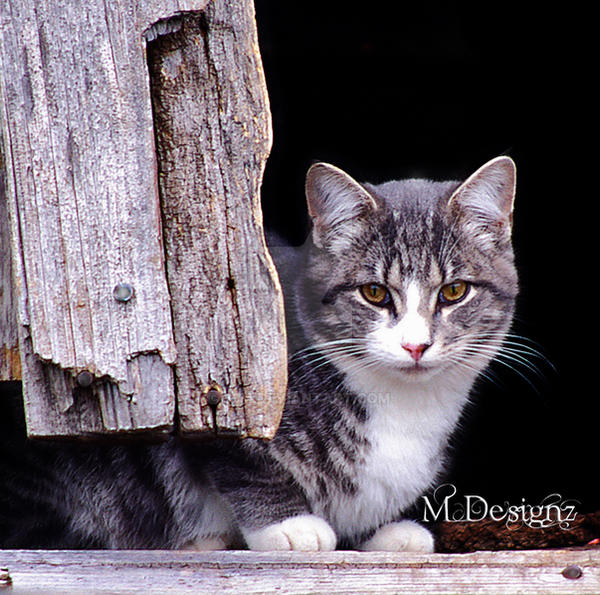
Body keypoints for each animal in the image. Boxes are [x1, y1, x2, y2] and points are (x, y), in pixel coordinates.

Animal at [0, 156, 516, 552]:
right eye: (374, 293)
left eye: (453, 291)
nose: (415, 344)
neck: (402, 405)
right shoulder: (228, 384)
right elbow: (230, 449)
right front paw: (289, 526)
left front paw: (386, 532)